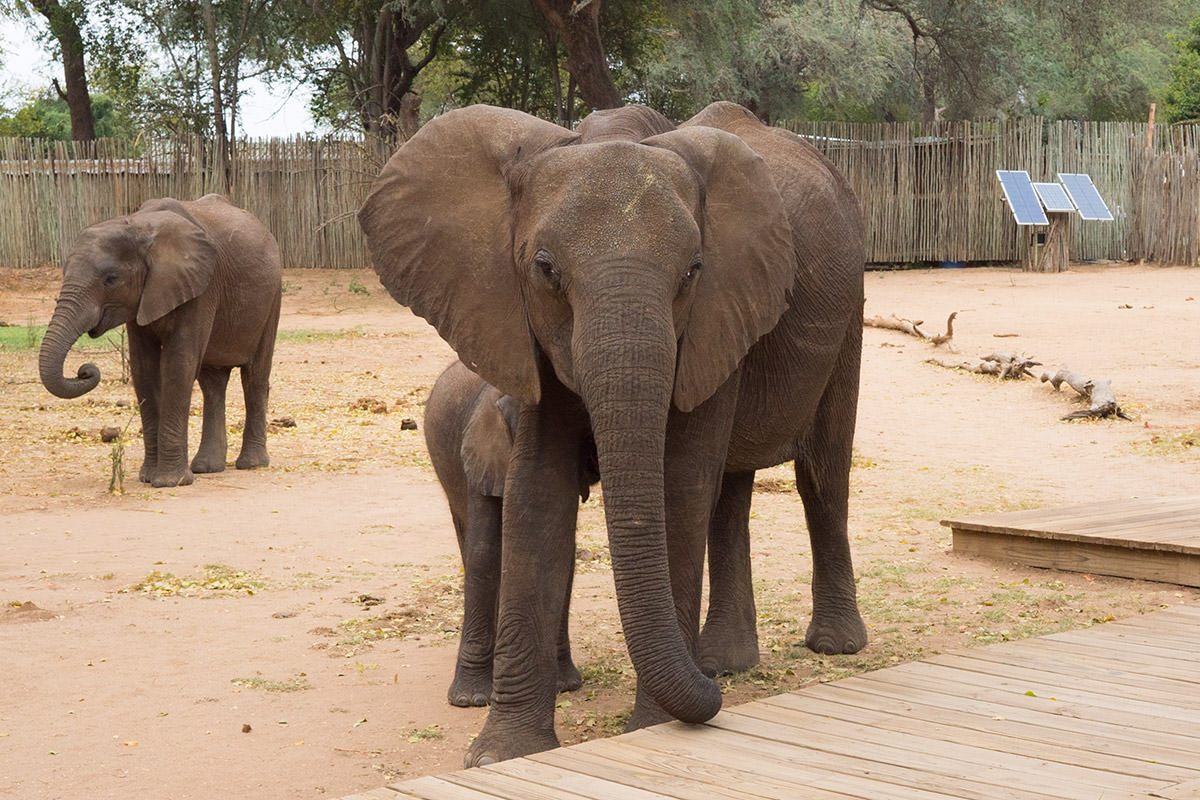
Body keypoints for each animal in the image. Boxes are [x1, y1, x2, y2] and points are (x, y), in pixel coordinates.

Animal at [38, 194, 283, 489]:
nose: (85, 370)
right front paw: (147, 478)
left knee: (254, 376)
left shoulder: (200, 287)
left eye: (110, 279)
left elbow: (179, 364)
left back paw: (251, 464)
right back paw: (206, 468)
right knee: (212, 383)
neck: (138, 225)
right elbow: (143, 368)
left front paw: (169, 482)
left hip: (273, 296)